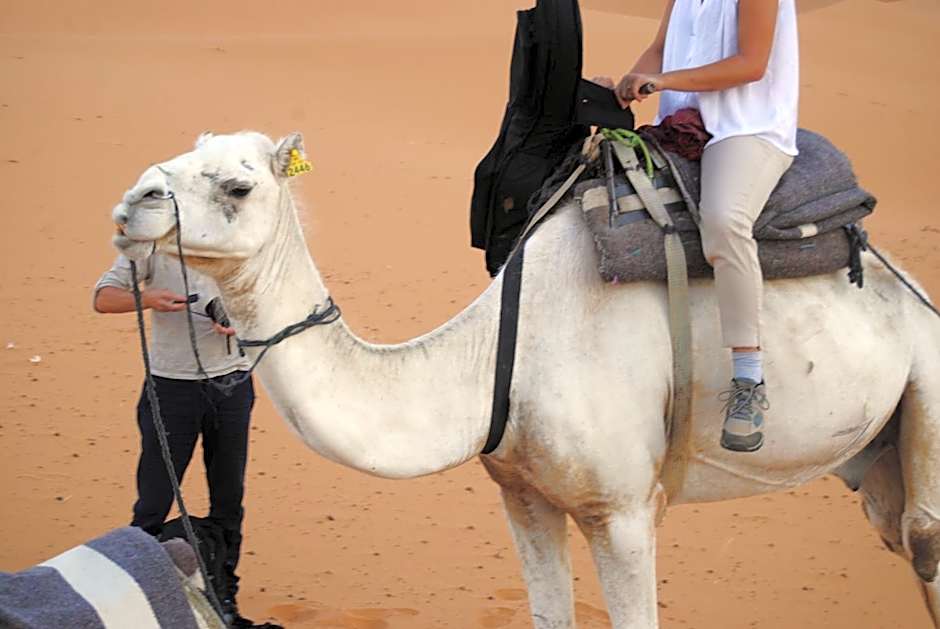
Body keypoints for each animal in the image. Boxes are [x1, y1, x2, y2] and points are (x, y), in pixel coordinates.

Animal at [110, 131, 940, 628]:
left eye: (238, 186)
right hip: (874, 455)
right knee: (902, 534)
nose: (132, 202)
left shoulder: (624, 509)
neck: (494, 365)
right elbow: (550, 613)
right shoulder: (523, 493)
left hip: (928, 375)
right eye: (183, 151)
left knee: (925, 538)